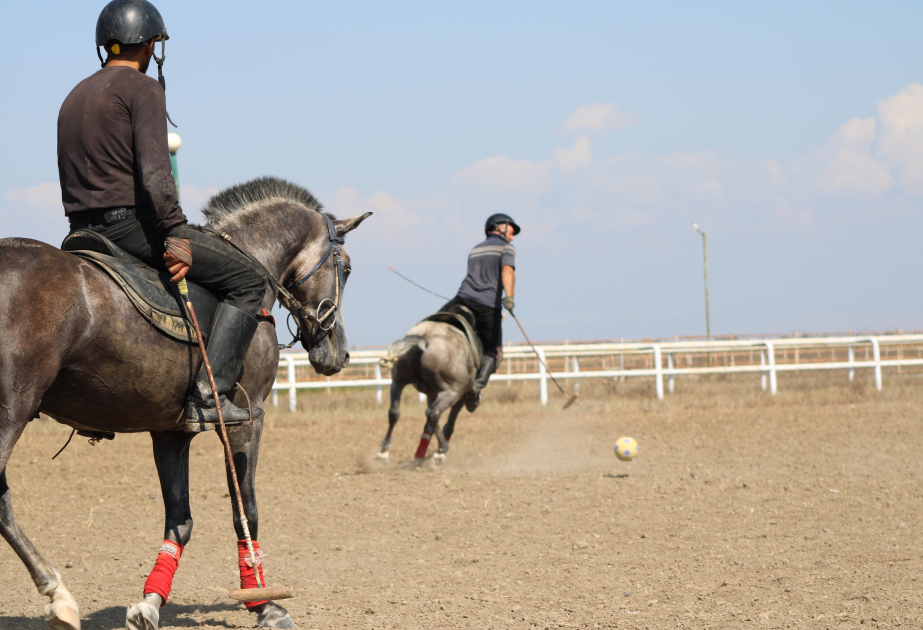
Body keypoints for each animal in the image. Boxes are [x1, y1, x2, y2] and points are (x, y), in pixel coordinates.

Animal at [0, 176, 371, 630]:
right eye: (346, 269)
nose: (338, 353)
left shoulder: (170, 433)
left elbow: (180, 521)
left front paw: (150, 602)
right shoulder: (248, 420)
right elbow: (246, 512)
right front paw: (263, 601)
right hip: (12, 411)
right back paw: (59, 597)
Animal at [376, 309, 481, 465]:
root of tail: (424, 339)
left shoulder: (431, 394)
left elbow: (427, 426)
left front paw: (419, 455)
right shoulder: (459, 397)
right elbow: (449, 423)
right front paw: (438, 453)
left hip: (397, 382)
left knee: (394, 413)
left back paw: (384, 451)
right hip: (451, 392)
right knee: (433, 413)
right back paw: (442, 449)